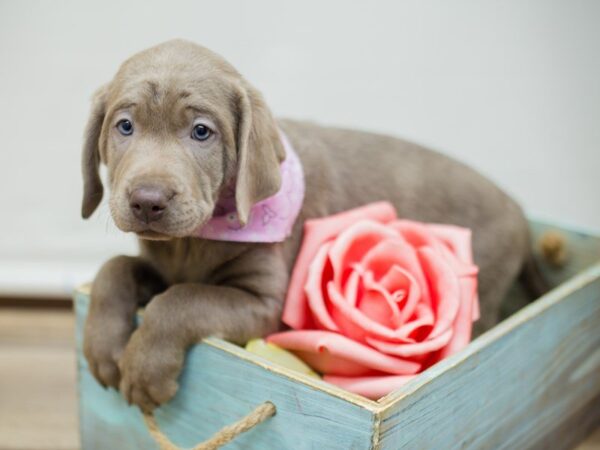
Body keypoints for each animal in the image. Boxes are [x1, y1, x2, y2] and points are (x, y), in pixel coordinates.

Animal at [81, 39, 540, 412]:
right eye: (125, 126)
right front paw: (102, 347)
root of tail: (519, 210)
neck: (191, 242)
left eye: (201, 132)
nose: (148, 201)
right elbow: (115, 269)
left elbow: (180, 300)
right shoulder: (162, 263)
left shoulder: (265, 305)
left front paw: (144, 370)